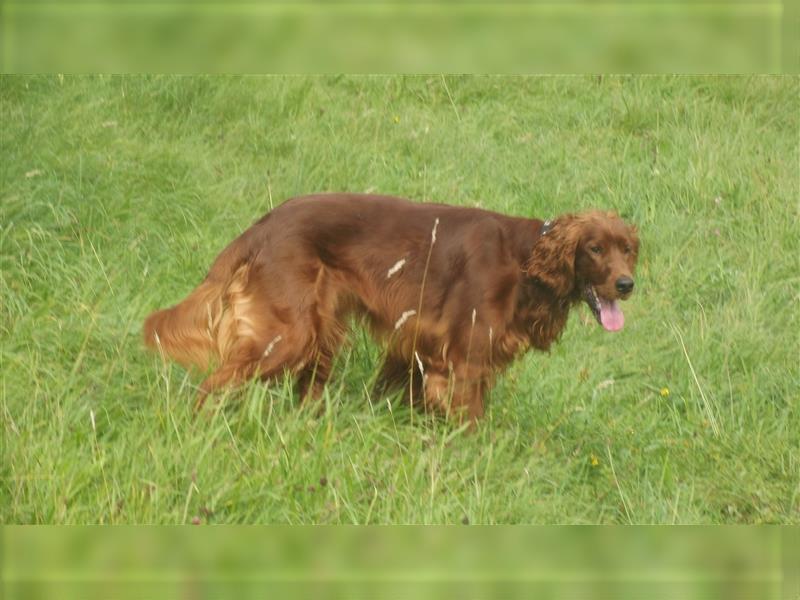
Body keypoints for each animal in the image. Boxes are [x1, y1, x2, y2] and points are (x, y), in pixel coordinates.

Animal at [144, 195, 640, 424]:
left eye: (628, 250)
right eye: (594, 248)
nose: (626, 284)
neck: (524, 261)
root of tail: (262, 226)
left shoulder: (423, 352)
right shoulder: (462, 363)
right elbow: (472, 422)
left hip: (321, 331)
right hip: (287, 335)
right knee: (213, 385)